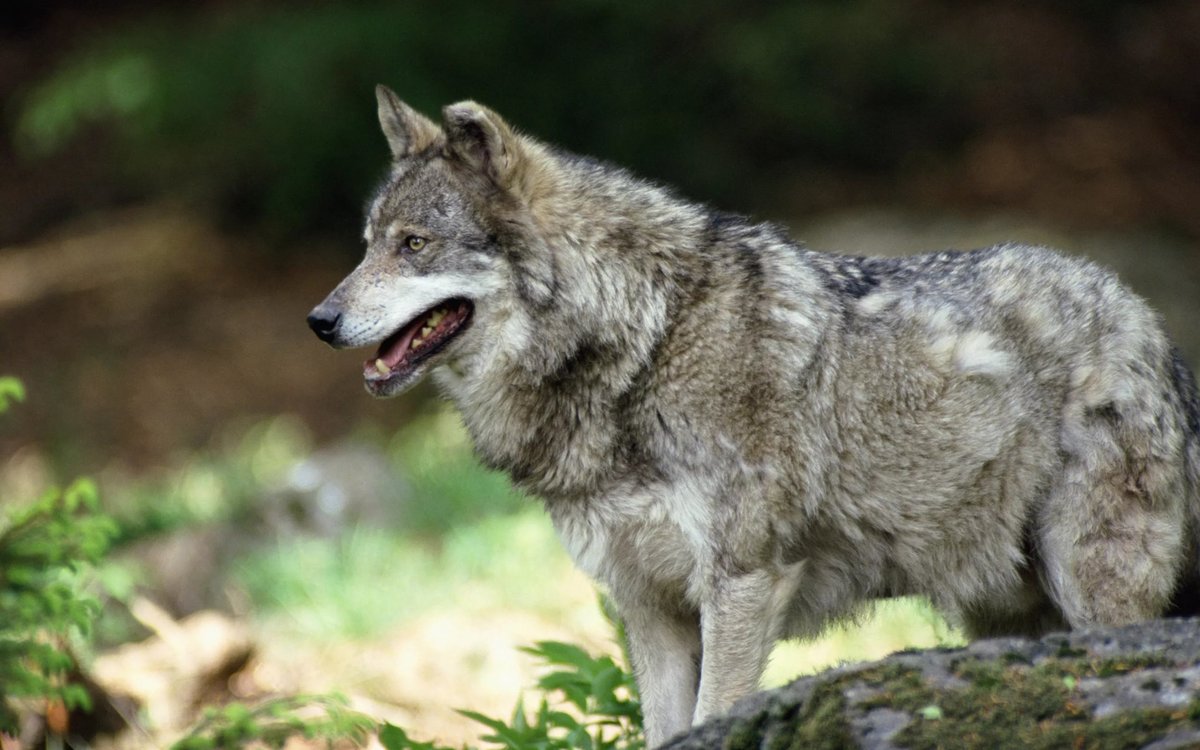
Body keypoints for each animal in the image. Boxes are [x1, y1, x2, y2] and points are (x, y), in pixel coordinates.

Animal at [308, 86, 1200, 747]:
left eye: (414, 245)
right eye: (368, 242)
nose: (320, 320)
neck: (644, 343)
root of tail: (1149, 324)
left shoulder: (741, 582)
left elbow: (713, 717)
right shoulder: (648, 608)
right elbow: (665, 731)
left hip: (1089, 590)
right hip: (1002, 614)